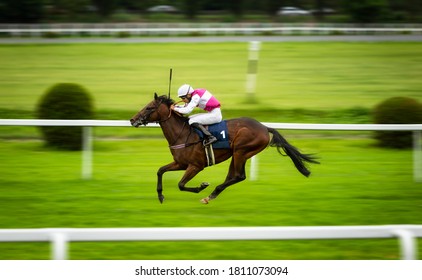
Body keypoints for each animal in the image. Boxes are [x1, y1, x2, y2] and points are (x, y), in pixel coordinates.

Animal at [130, 93, 318, 205]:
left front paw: (201, 186)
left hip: (242, 150)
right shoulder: (180, 163)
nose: (132, 120)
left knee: (239, 176)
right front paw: (160, 195)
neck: (182, 135)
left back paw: (211, 192)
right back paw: (212, 195)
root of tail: (265, 127)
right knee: (233, 176)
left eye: (149, 107)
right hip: (237, 154)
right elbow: (160, 171)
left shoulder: (196, 166)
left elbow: (181, 184)